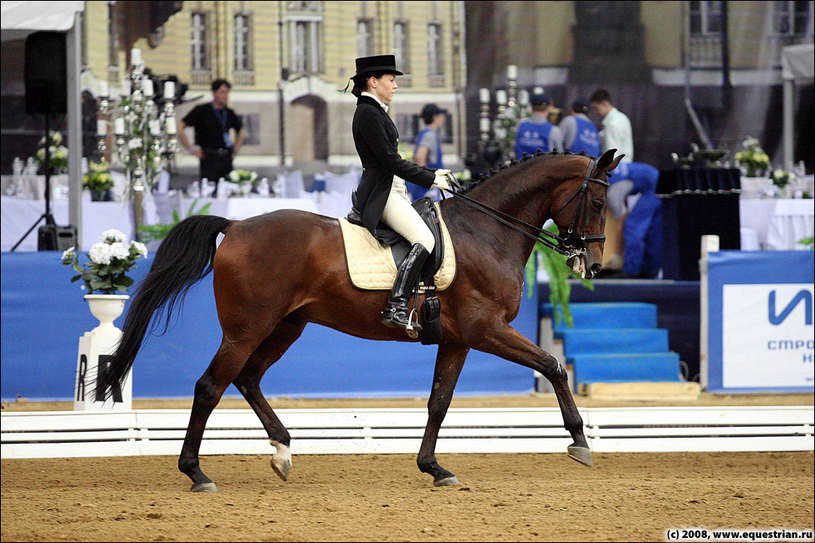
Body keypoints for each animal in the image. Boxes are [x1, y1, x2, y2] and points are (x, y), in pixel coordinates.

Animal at [95, 149, 620, 492]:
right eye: (596, 203)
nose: (593, 265)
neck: (486, 231)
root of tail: (237, 225)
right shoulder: (486, 330)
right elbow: (553, 365)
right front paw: (579, 441)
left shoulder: (458, 339)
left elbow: (439, 402)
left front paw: (433, 468)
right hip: (247, 328)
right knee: (210, 386)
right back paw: (196, 473)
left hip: (286, 326)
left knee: (247, 379)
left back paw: (283, 452)